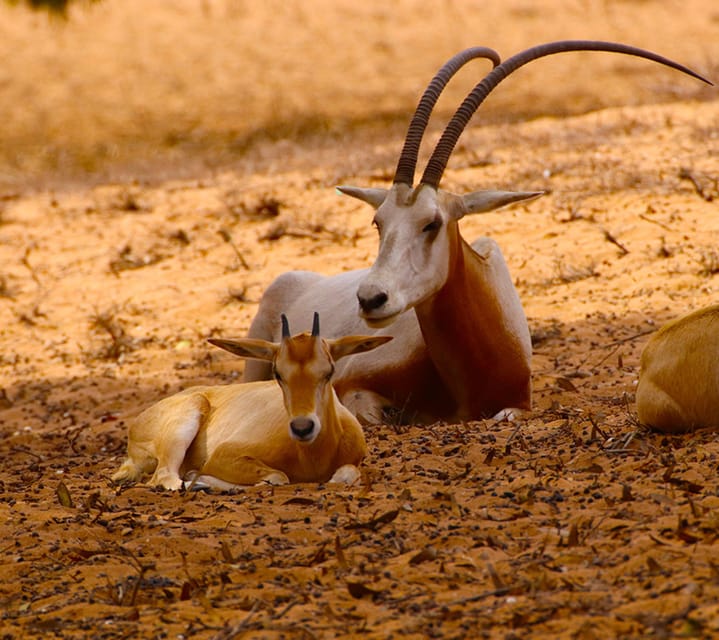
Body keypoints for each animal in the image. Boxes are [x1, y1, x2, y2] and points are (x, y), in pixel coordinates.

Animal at [112, 314, 390, 490]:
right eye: (278, 373)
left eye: (329, 371)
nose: (303, 428)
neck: (312, 457)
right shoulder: (224, 456)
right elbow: (278, 477)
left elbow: (344, 475)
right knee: (164, 478)